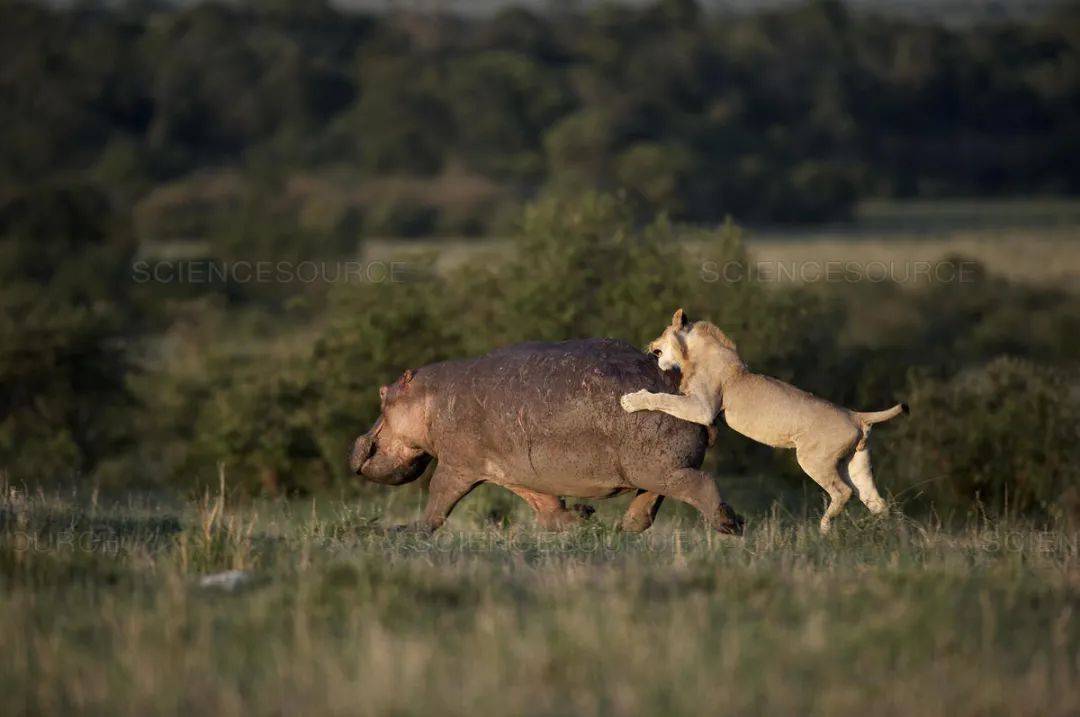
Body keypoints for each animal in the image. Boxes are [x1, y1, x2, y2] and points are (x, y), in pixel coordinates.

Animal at [349, 339, 747, 535]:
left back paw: (730, 525)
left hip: (659, 466)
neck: (428, 398)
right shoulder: (512, 471)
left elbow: (437, 502)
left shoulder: (456, 464)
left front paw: (403, 531)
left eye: (382, 394)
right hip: (654, 469)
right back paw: (619, 531)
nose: (355, 446)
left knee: (699, 484)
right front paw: (582, 519)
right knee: (649, 504)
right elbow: (546, 508)